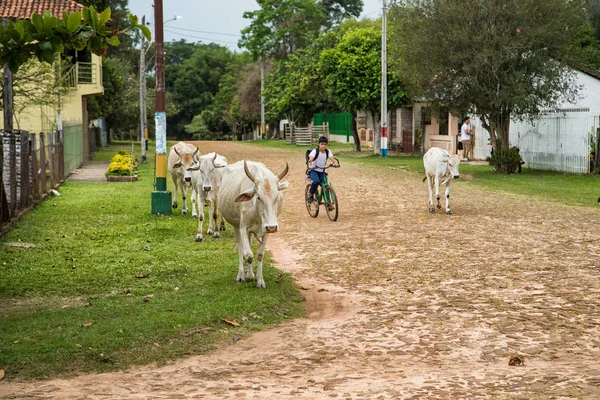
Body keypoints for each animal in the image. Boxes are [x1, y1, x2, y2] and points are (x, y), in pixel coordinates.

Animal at [219, 159, 290, 288]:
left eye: (277, 197)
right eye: (258, 197)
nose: (272, 227)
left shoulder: (266, 230)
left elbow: (259, 254)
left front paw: (260, 280)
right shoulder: (243, 227)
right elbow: (248, 254)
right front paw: (248, 276)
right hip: (236, 226)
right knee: (241, 248)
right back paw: (241, 274)